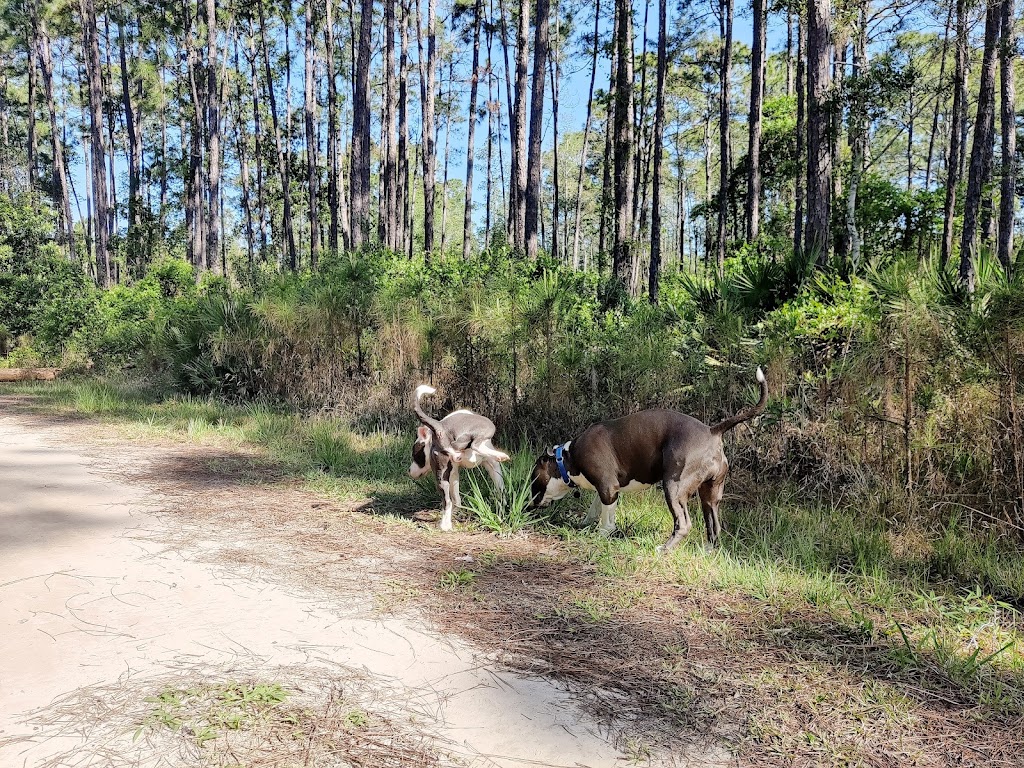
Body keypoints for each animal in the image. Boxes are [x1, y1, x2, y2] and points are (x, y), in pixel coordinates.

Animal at [407, 387, 512, 532]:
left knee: (447, 501)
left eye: (415, 455)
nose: (409, 471)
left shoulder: (455, 473)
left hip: (441, 475)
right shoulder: (490, 464)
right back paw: (500, 455)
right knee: (473, 444)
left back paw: (445, 525)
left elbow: (458, 499)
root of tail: (440, 427)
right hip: (488, 426)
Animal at [532, 368, 765, 552]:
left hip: (674, 487)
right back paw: (707, 551)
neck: (566, 459)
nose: (528, 504)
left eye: (534, 481)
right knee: (713, 526)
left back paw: (664, 549)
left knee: (683, 524)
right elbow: (595, 509)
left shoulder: (608, 487)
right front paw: (585, 524)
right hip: (710, 494)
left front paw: (601, 534)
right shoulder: (605, 489)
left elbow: (607, 519)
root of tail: (712, 431)